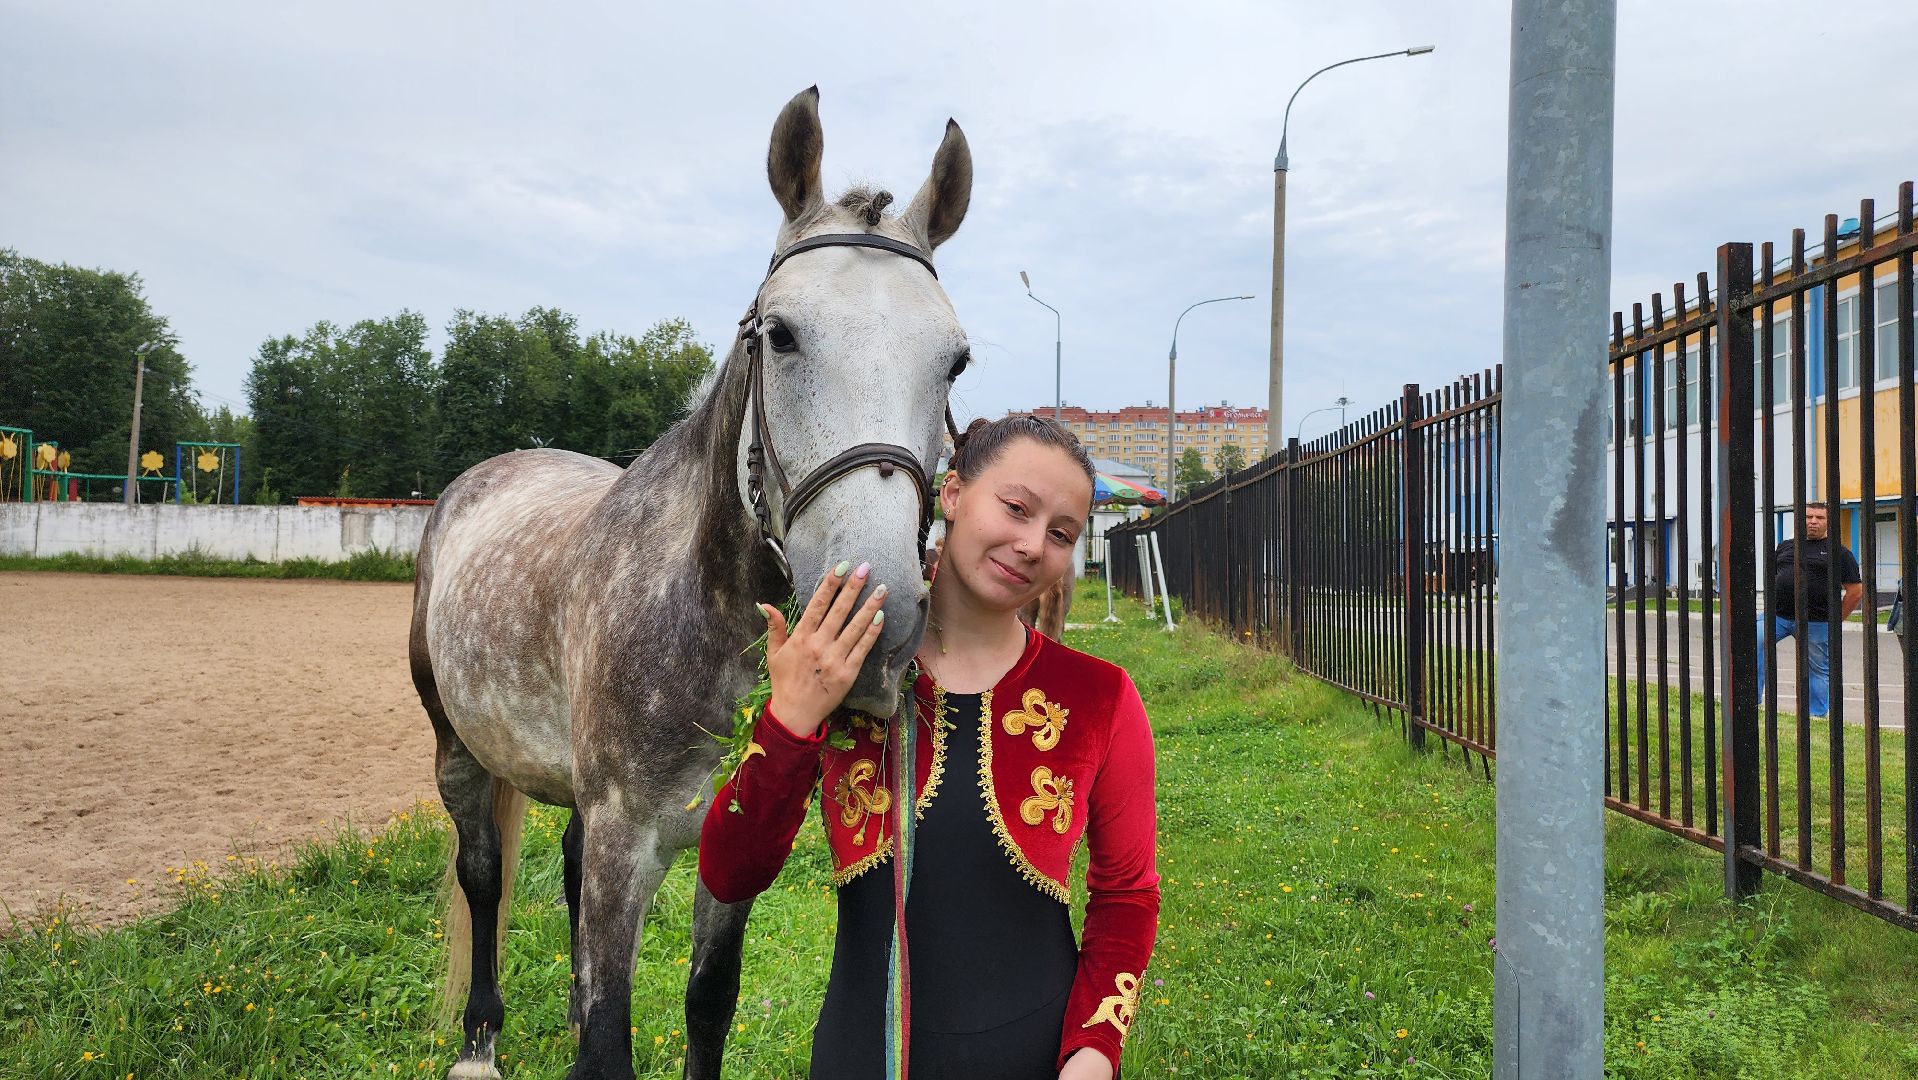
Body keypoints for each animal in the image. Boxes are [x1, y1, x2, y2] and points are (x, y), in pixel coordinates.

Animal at [409, 86, 973, 1080]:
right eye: (780, 336)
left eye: (955, 360)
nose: (877, 622)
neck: (696, 616)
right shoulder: (625, 845)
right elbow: (609, 1032)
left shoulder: (726, 846)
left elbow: (708, 1001)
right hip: (456, 747)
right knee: (482, 876)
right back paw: (479, 1038)